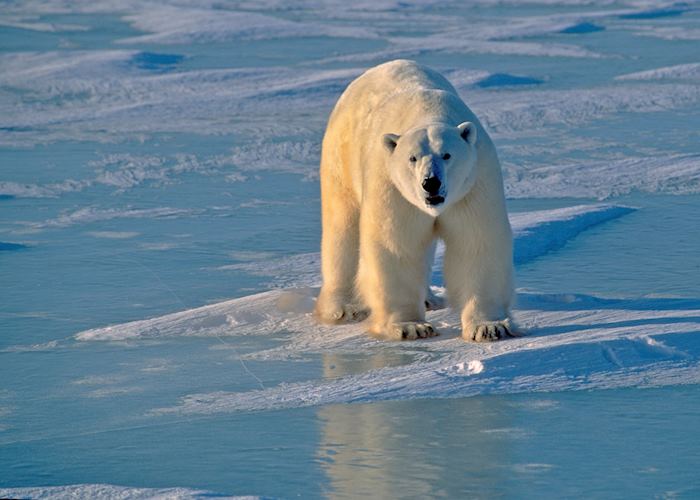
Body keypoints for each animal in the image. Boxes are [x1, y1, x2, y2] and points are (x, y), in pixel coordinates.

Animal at [314, 59, 514, 342]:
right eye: (412, 157)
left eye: (447, 155)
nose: (430, 183)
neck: (427, 111)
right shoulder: (392, 186)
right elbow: (396, 245)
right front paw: (411, 327)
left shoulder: (474, 183)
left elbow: (476, 242)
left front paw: (489, 326)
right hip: (341, 158)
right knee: (343, 229)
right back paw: (344, 307)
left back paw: (430, 299)